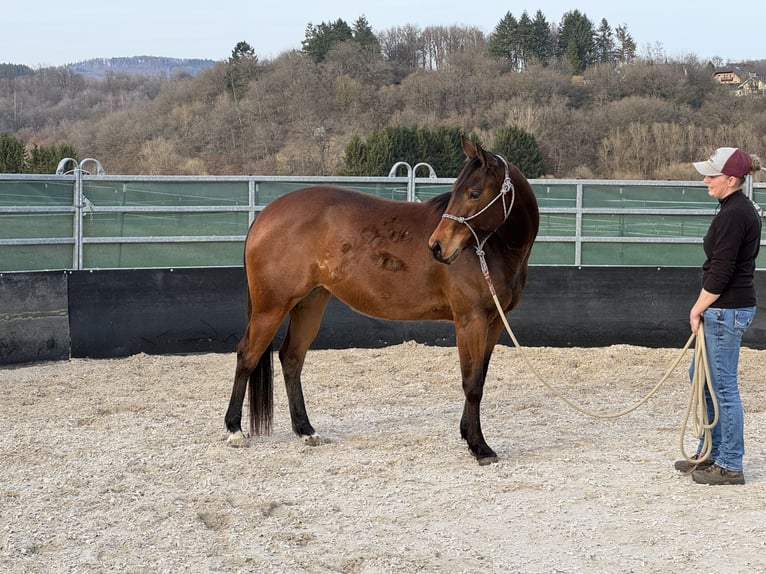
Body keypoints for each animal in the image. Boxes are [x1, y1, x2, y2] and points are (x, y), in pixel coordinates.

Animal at [224, 136, 539, 464]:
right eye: (457, 191)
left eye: (474, 193)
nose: (437, 246)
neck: (492, 249)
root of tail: (265, 215)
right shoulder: (470, 320)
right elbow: (472, 383)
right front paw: (480, 447)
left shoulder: (494, 322)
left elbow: (479, 377)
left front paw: (467, 435)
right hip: (271, 308)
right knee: (247, 355)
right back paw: (234, 430)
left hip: (310, 303)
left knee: (291, 358)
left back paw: (305, 430)